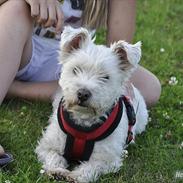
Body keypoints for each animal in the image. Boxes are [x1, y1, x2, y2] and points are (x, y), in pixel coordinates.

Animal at [35, 26, 149, 182]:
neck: (83, 123)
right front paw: (57, 170)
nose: (83, 93)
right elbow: (54, 156)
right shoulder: (48, 145)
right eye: (75, 69)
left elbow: (90, 167)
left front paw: (75, 176)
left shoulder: (106, 159)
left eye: (106, 77)